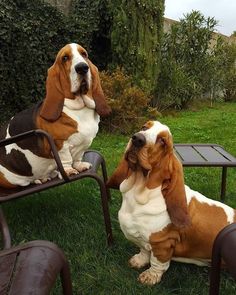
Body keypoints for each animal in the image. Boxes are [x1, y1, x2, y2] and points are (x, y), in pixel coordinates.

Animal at [0, 42, 111, 188]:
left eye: (84, 54)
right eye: (65, 58)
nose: (82, 67)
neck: (79, 108)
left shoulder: (83, 145)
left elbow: (77, 157)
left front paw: (79, 166)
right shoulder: (60, 144)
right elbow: (66, 159)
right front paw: (69, 171)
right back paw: (37, 180)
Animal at [107, 121, 236, 286]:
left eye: (162, 141)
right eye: (144, 127)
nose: (137, 139)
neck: (138, 192)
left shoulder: (162, 244)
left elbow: (157, 263)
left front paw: (150, 276)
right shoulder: (143, 240)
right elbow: (144, 250)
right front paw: (139, 261)